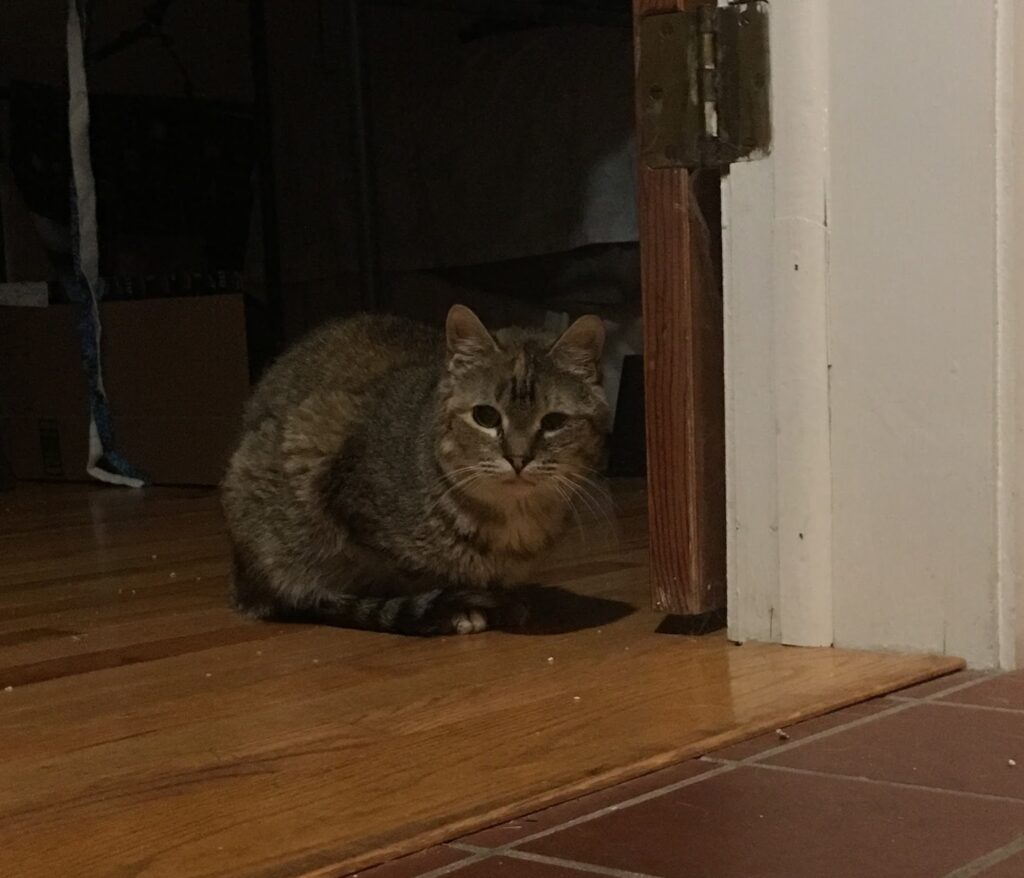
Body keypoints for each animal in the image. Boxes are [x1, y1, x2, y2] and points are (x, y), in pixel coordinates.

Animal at [222, 305, 606, 635]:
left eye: (554, 422)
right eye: (486, 416)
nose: (518, 457)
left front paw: (503, 602)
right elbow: (412, 576)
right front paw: (465, 608)